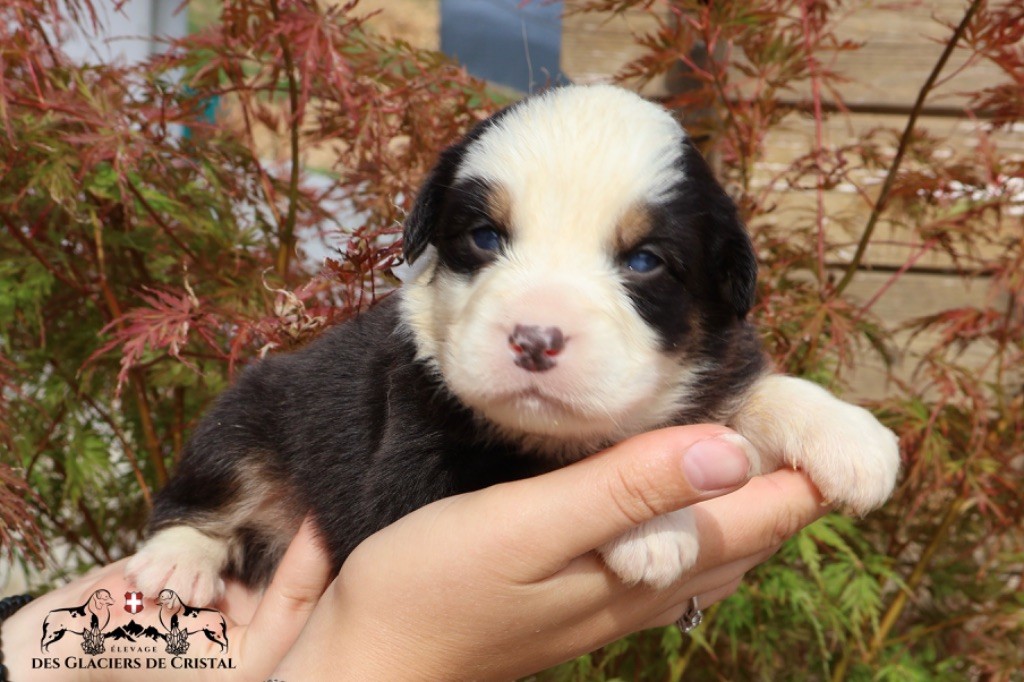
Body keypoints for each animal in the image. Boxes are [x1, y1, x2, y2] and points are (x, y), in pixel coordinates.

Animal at [123, 83, 901, 602]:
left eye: (645, 260)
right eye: (485, 237)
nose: (534, 340)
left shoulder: (712, 369)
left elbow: (757, 390)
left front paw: (856, 440)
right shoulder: (413, 474)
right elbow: (546, 467)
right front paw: (655, 529)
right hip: (249, 408)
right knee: (199, 498)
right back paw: (174, 566)